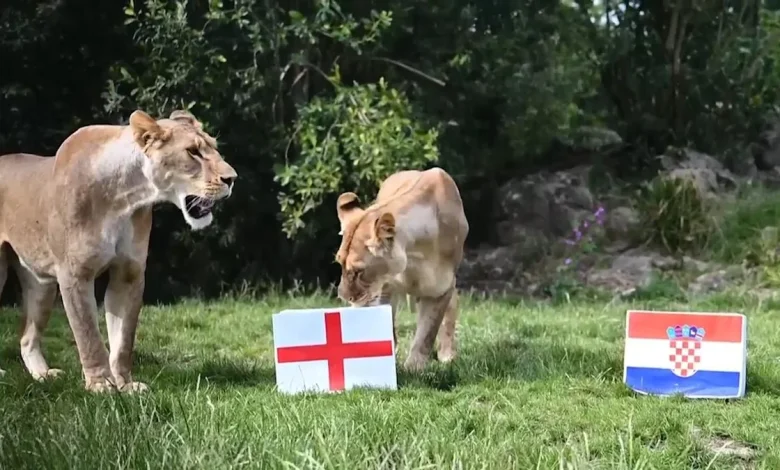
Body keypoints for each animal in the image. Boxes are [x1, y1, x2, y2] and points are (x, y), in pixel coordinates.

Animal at [0, 109, 237, 392]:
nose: (232, 179)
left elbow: (123, 340)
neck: (124, 198)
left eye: (214, 146)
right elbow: (88, 335)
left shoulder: (129, 273)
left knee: (27, 338)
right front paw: (101, 385)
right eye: (192, 151)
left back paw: (44, 375)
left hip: (41, 284)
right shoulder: (75, 275)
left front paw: (126, 386)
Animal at [334, 167, 469, 370]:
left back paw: (447, 354)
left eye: (358, 271)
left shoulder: (441, 288)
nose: (343, 297)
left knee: (452, 306)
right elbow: (385, 325)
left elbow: (426, 334)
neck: (413, 254)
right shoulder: (385, 288)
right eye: (339, 263)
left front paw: (414, 369)